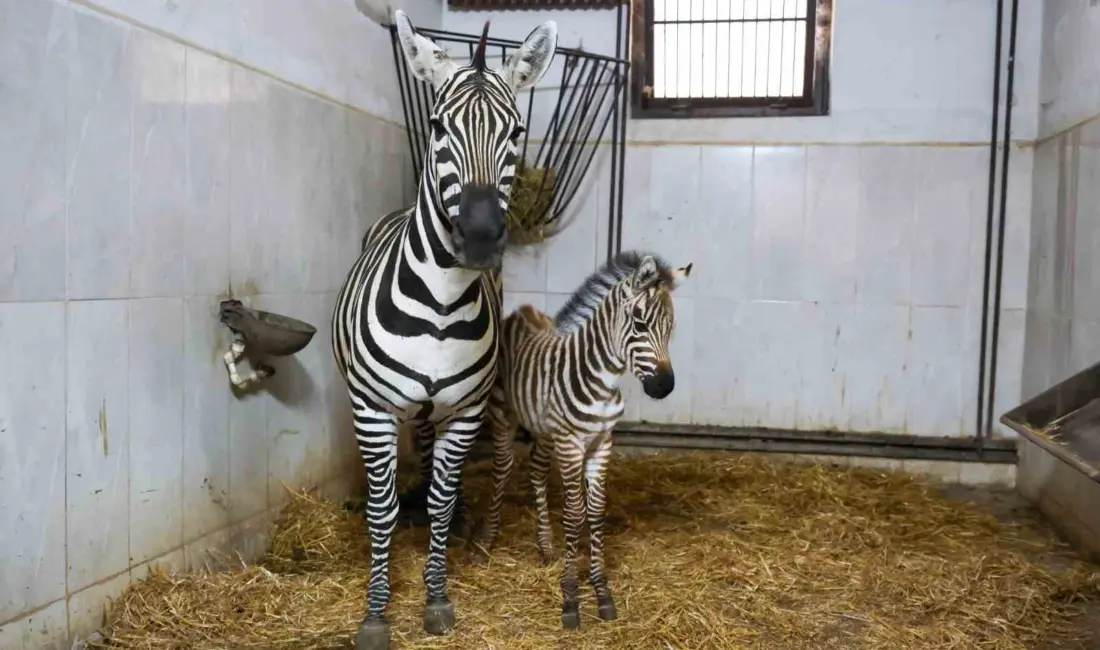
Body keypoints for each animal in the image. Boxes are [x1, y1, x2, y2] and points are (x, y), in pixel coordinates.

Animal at [331, 11, 557, 650]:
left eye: (516, 131)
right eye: (436, 127)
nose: (479, 236)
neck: (439, 305)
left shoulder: (465, 412)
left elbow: (441, 496)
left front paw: (435, 597)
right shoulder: (373, 409)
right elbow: (381, 509)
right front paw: (376, 612)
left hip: (439, 412)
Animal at [472, 250, 692, 629]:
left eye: (671, 328)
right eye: (640, 324)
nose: (664, 386)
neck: (602, 381)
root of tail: (523, 310)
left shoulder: (601, 443)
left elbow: (596, 510)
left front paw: (601, 590)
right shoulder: (572, 445)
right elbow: (575, 513)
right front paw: (570, 594)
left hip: (546, 430)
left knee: (536, 471)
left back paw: (546, 546)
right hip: (504, 414)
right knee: (502, 469)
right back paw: (488, 539)